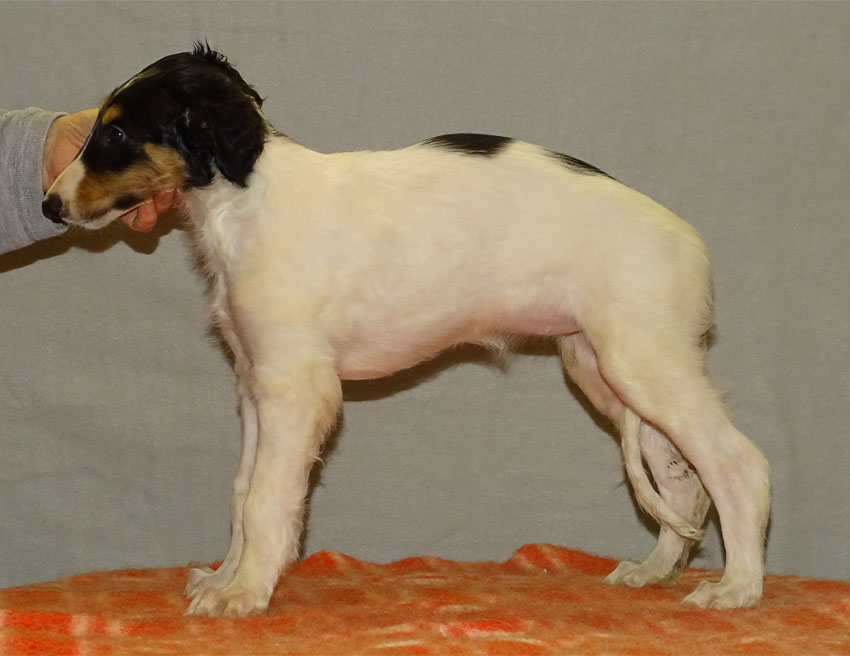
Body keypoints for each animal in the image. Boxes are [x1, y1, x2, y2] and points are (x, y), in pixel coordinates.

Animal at [43, 45, 770, 617]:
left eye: (116, 136)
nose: (49, 204)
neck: (245, 202)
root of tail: (687, 241)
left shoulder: (296, 388)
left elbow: (266, 501)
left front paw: (246, 593)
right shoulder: (254, 385)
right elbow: (241, 492)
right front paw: (228, 578)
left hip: (643, 363)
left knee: (738, 465)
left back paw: (737, 588)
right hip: (605, 370)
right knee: (684, 483)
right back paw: (656, 572)